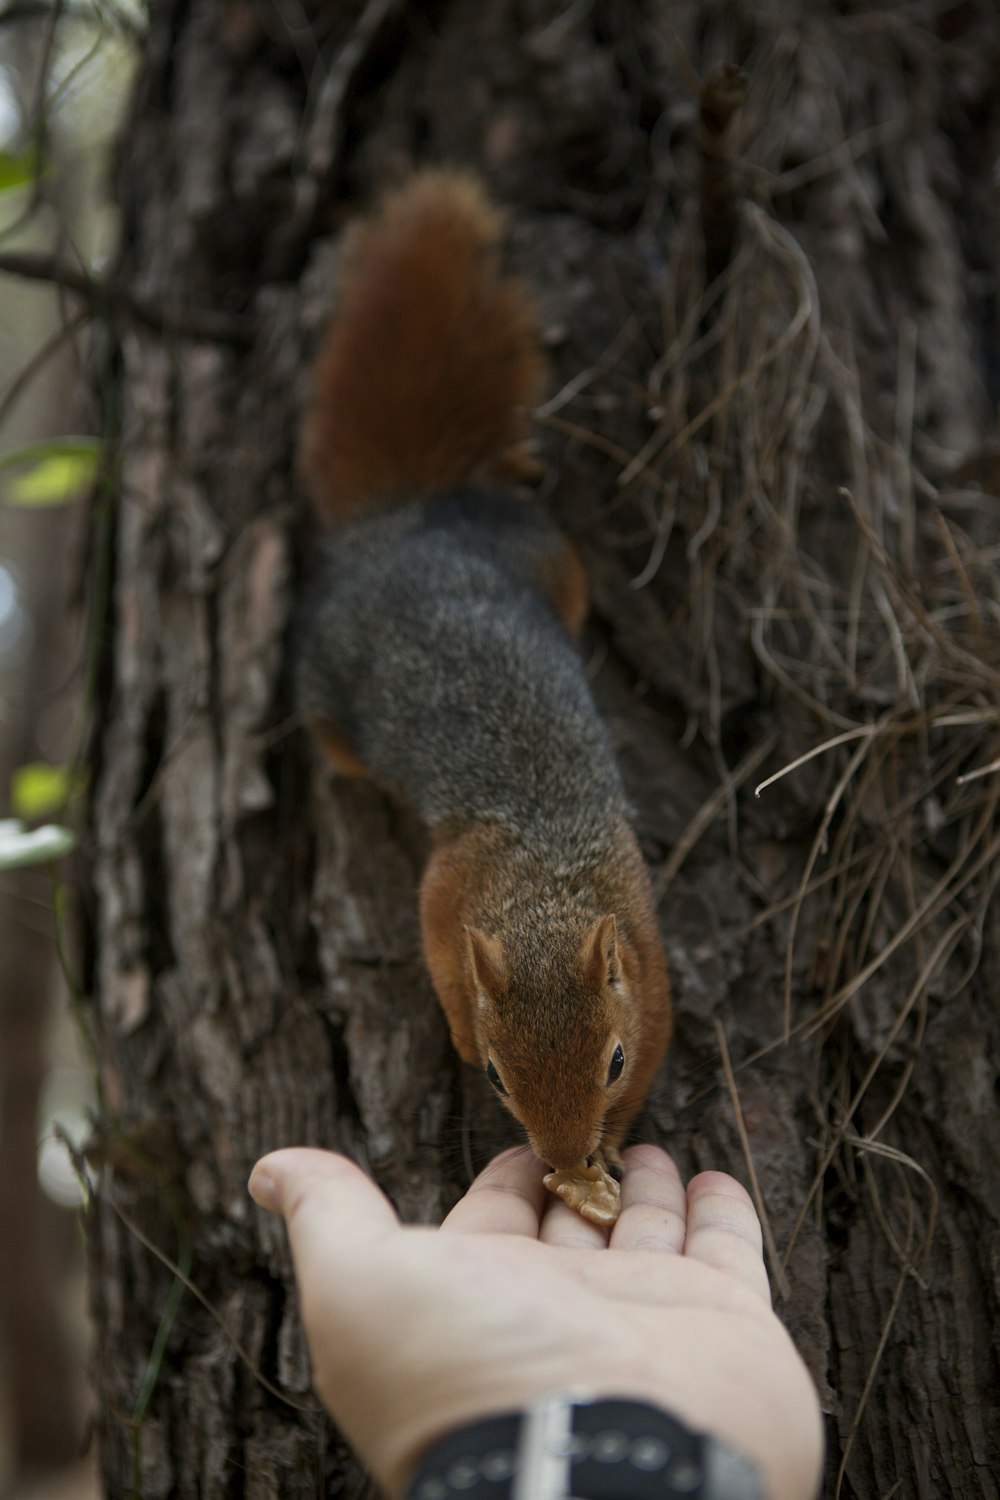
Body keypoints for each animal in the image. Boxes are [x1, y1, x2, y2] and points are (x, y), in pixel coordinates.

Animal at [296, 172, 671, 1206]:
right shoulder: (446, 884)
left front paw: (612, 1151)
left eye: (611, 1061)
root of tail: (411, 520)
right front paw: (462, 1030)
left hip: (551, 567)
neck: (540, 876)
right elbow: (437, 948)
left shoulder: (644, 943)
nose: (564, 1157)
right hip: (333, 694)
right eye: (498, 1077)